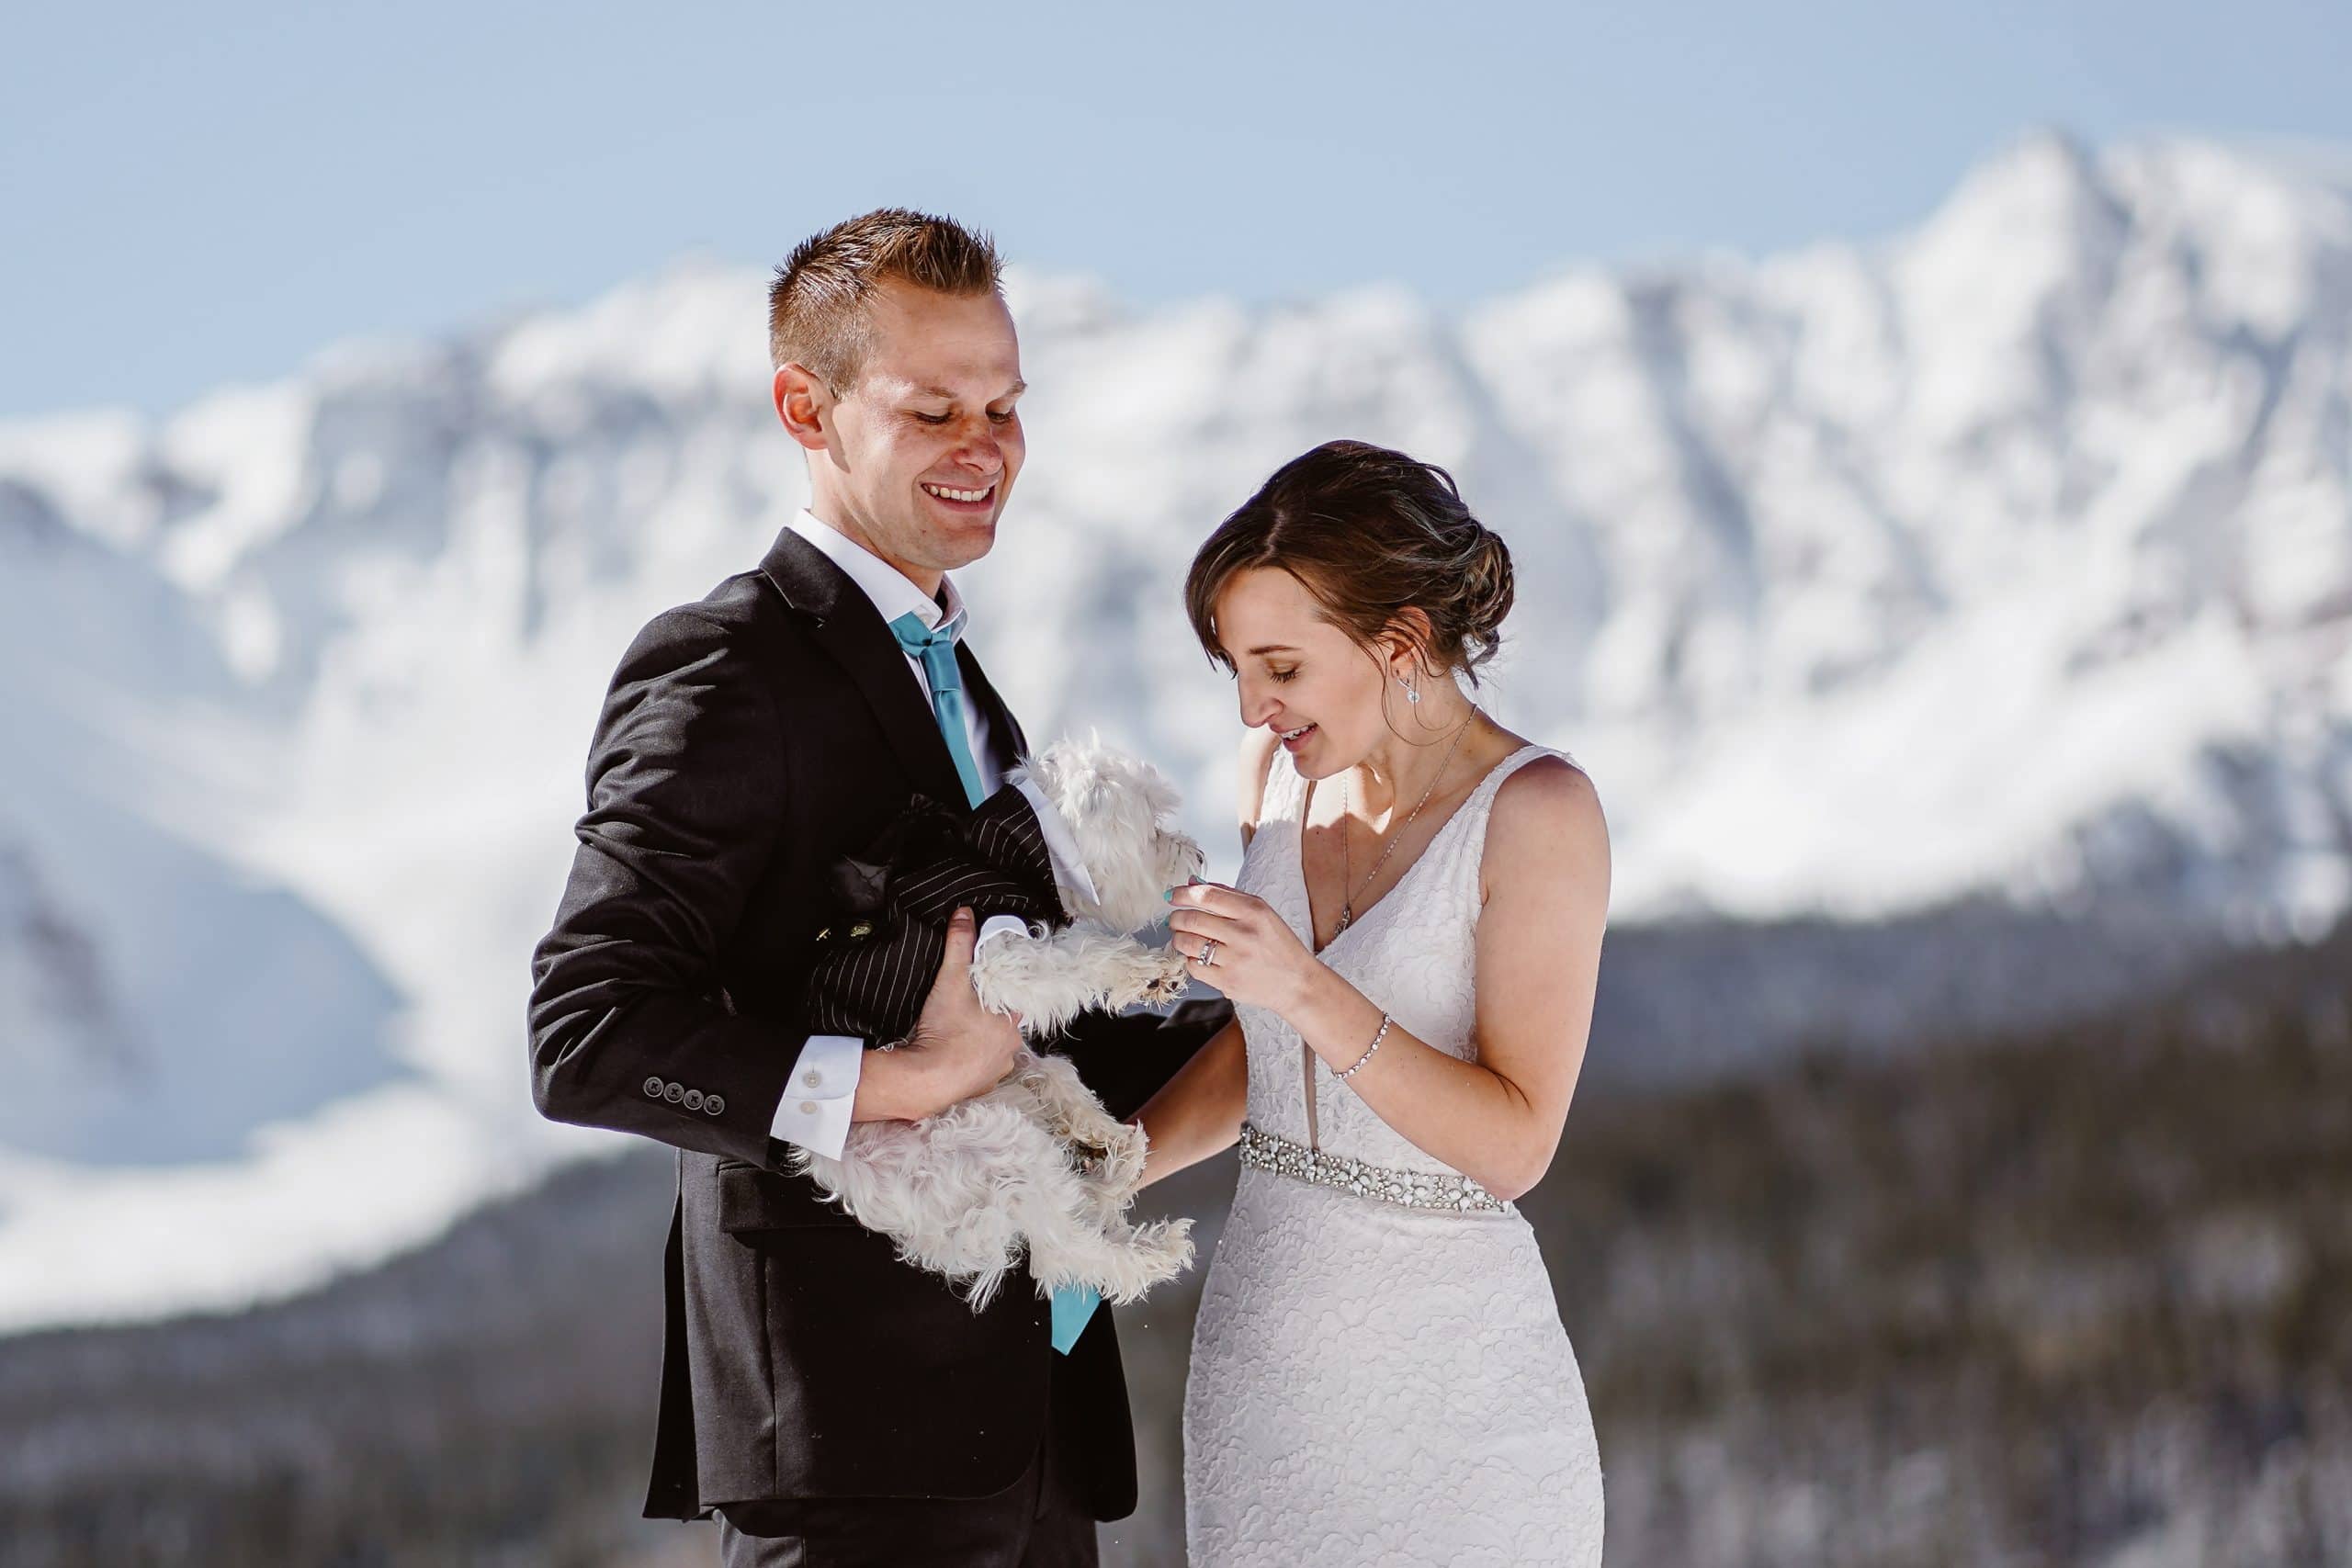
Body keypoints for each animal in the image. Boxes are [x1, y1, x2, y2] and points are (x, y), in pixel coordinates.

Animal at [790, 738, 1204, 1316]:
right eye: (1156, 828)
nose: (1199, 855)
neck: (1015, 851)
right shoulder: (999, 955)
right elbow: (1086, 953)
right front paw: (1148, 970)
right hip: (994, 1144)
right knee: (1066, 1247)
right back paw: (1152, 1247)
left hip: (1014, 1088)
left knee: (1066, 1115)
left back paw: (1110, 1143)